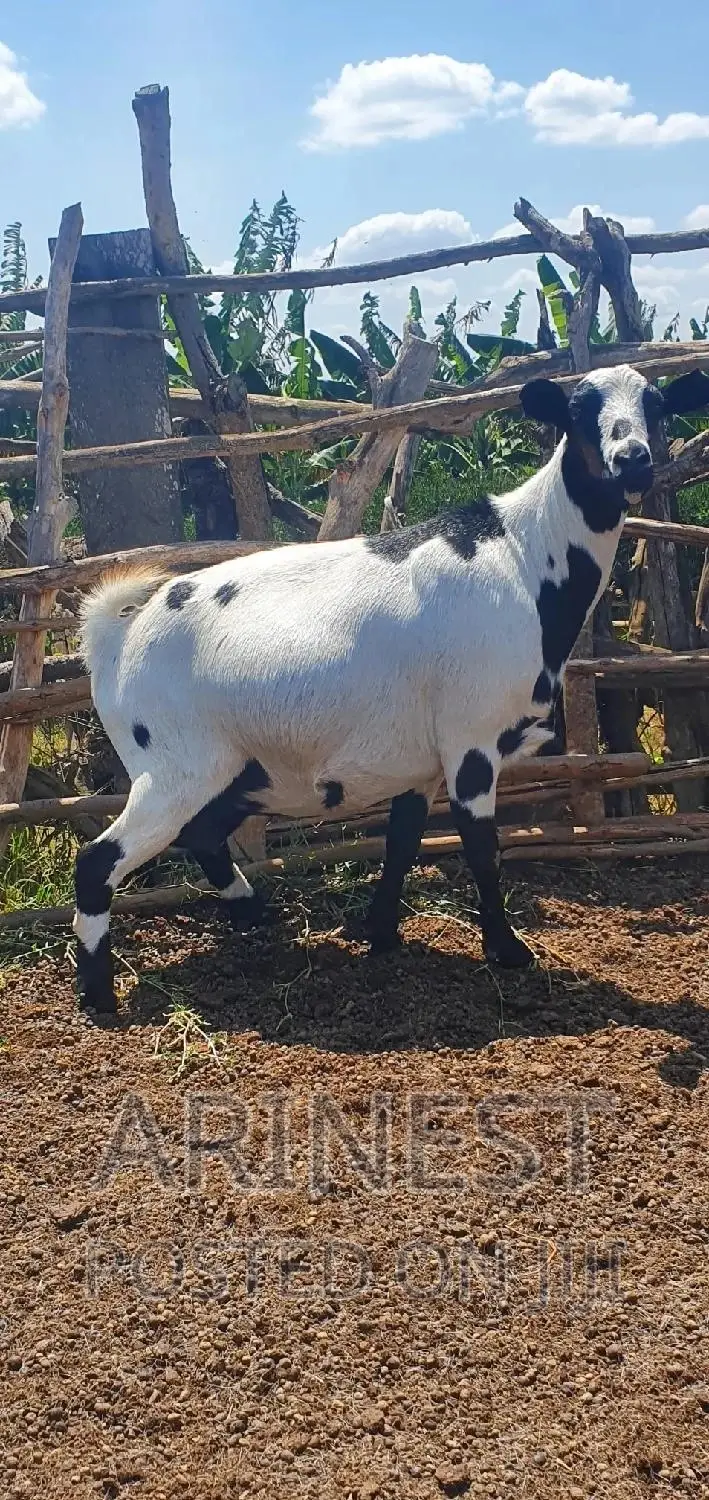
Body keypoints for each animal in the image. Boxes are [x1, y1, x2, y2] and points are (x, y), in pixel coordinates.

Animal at [74, 365, 709, 1012]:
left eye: (657, 405)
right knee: (98, 862)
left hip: (237, 770)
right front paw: (507, 951)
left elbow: (402, 844)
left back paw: (253, 913)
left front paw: (379, 934)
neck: (525, 554)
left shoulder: (419, 760)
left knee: (201, 836)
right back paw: (99, 994)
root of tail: (116, 636)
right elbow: (480, 846)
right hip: (173, 765)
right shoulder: (471, 739)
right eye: (580, 410)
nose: (632, 460)